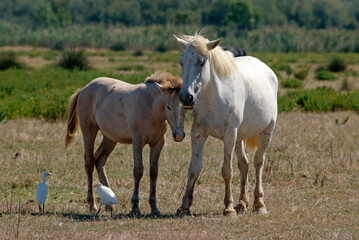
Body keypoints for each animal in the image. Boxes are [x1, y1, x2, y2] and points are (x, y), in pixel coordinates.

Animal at [174, 32, 278, 216]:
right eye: (181, 62)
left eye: (202, 62)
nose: (186, 97)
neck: (214, 97)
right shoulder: (198, 133)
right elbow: (194, 168)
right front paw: (184, 206)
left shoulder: (230, 135)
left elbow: (227, 171)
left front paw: (228, 207)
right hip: (240, 136)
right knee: (244, 164)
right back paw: (242, 203)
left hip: (266, 131)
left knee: (258, 162)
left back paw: (259, 204)